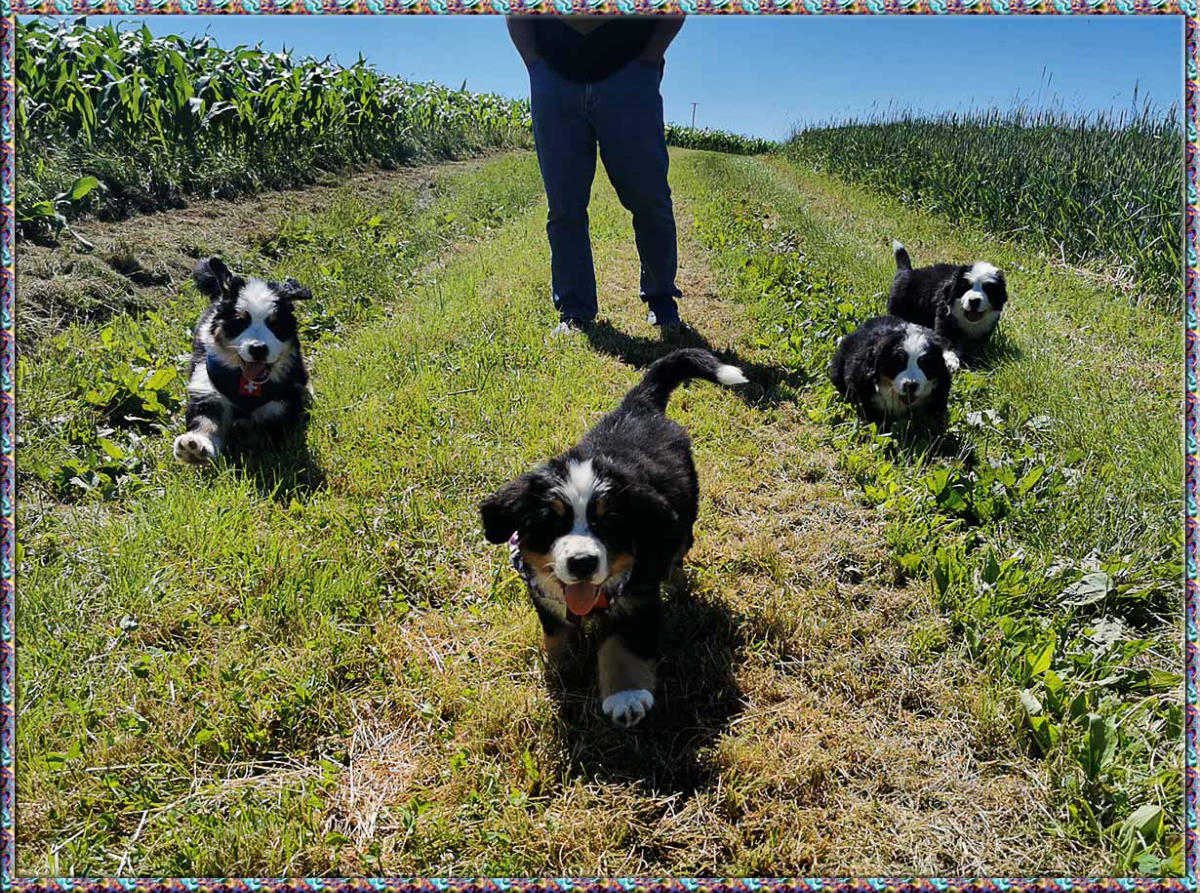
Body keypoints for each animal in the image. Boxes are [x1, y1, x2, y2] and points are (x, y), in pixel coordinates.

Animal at [173, 257, 311, 464]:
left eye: (274, 324)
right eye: (240, 322)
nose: (258, 349)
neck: (246, 387)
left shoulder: (282, 403)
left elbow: (267, 435)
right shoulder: (207, 390)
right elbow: (205, 421)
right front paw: (195, 446)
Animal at [479, 349, 748, 729]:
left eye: (608, 523)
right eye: (551, 523)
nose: (582, 563)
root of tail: (638, 407)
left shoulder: (637, 598)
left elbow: (621, 648)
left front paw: (625, 697)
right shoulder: (546, 597)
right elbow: (557, 637)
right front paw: (561, 671)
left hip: (683, 522)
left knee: (677, 554)